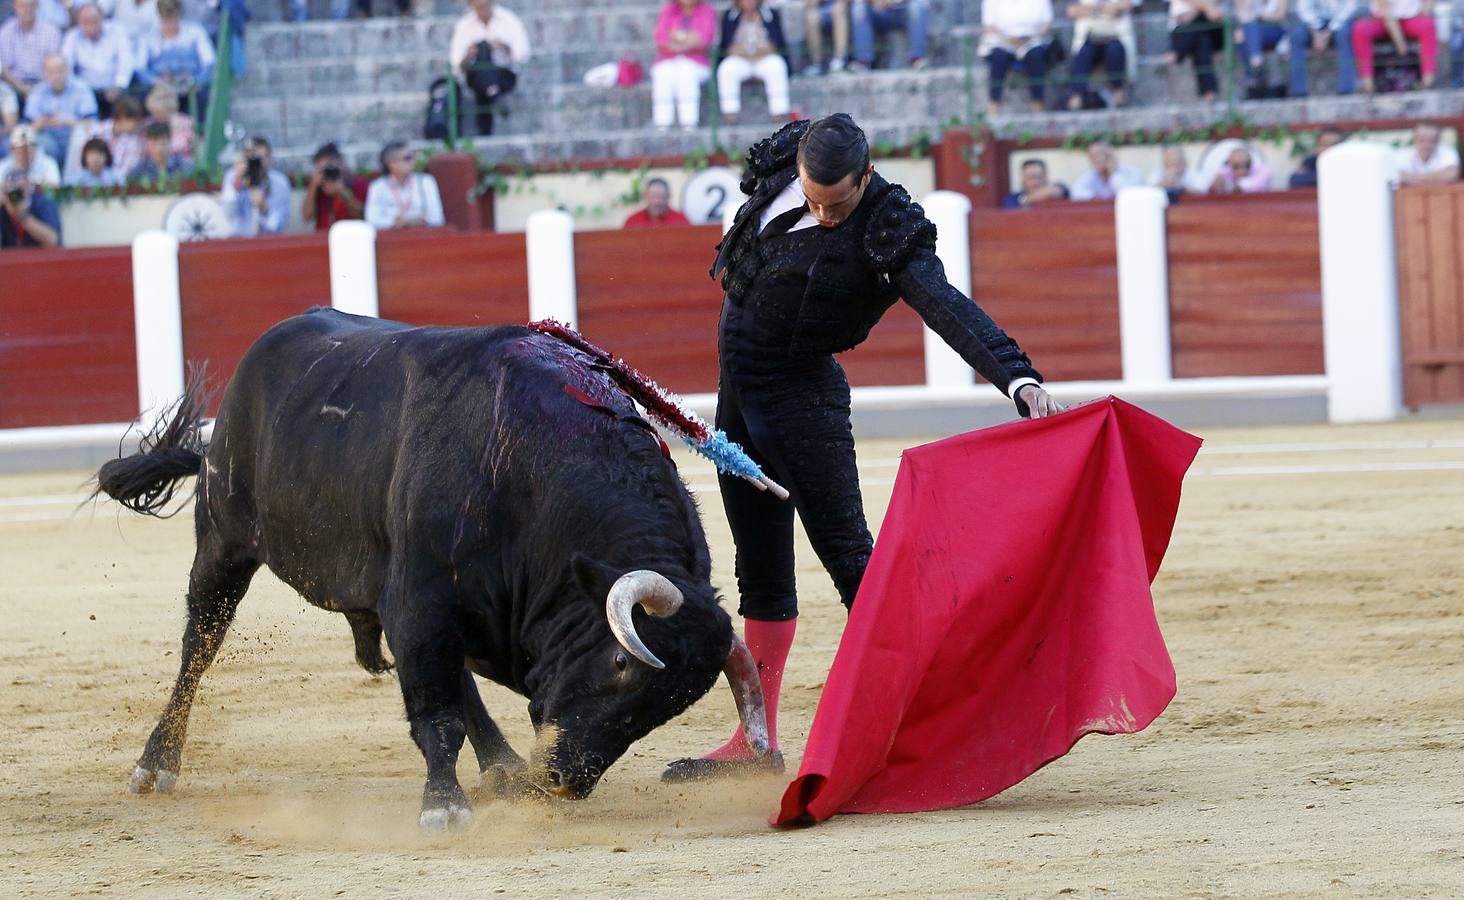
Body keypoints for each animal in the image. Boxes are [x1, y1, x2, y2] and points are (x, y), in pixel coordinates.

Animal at [97, 310, 772, 831]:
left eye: (671, 707)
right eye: (620, 663)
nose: (561, 779)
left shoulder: (443, 610)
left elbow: (448, 689)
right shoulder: (420, 600)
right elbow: (437, 712)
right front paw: (443, 808)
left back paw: (502, 766)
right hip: (225, 542)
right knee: (199, 644)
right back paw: (155, 765)